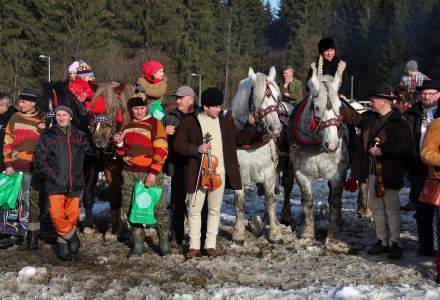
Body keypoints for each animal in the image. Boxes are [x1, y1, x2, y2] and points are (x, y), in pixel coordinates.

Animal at [232, 67, 284, 243]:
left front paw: (274, 233)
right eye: (258, 97)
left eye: (277, 97)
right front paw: (238, 232)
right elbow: (239, 202)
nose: (275, 128)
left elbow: (269, 200)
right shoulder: (238, 174)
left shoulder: (269, 175)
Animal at [288, 63, 350, 251]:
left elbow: (335, 203)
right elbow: (307, 201)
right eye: (316, 106)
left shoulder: (338, 176)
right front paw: (308, 234)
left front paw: (332, 237)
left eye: (340, 107)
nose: (332, 144)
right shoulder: (300, 174)